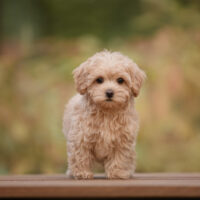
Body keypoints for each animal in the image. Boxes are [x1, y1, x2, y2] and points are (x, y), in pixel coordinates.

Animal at [63, 50, 146, 180]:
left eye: (120, 80)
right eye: (99, 80)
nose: (109, 92)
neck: (107, 113)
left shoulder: (123, 140)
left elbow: (120, 157)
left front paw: (117, 173)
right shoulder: (80, 137)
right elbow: (81, 155)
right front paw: (82, 173)